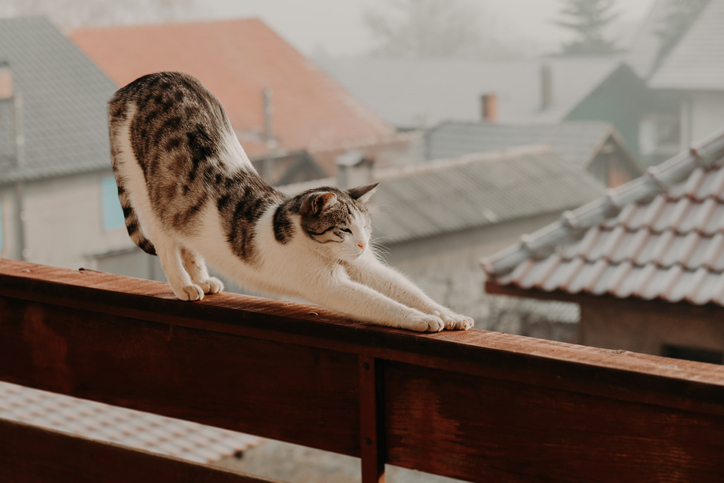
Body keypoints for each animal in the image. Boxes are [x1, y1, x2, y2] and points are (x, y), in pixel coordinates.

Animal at [104, 71, 472, 332]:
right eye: (344, 229)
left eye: (365, 227)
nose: (364, 245)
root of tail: (135, 85)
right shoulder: (328, 285)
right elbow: (383, 304)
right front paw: (422, 320)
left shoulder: (367, 267)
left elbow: (408, 290)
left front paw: (448, 314)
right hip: (146, 193)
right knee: (166, 244)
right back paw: (184, 285)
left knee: (187, 242)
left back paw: (203, 280)